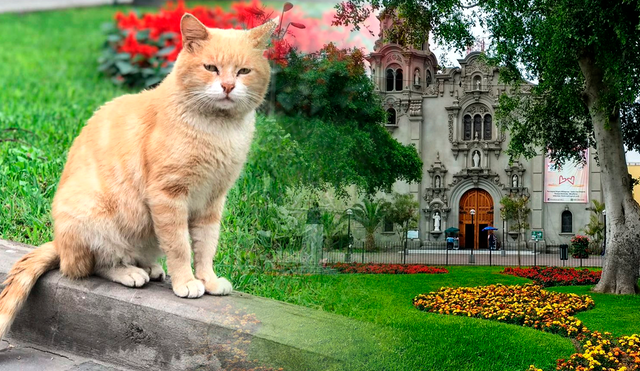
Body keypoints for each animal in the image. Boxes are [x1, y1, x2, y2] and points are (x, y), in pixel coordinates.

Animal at [0, 13, 276, 340]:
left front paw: (207, 279)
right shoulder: (168, 196)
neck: (218, 131)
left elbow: (206, 246)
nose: (228, 86)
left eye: (243, 71)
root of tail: (59, 243)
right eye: (211, 68)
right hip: (94, 216)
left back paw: (150, 267)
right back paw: (130, 271)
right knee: (93, 266)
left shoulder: (212, 201)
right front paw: (186, 282)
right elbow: (180, 247)